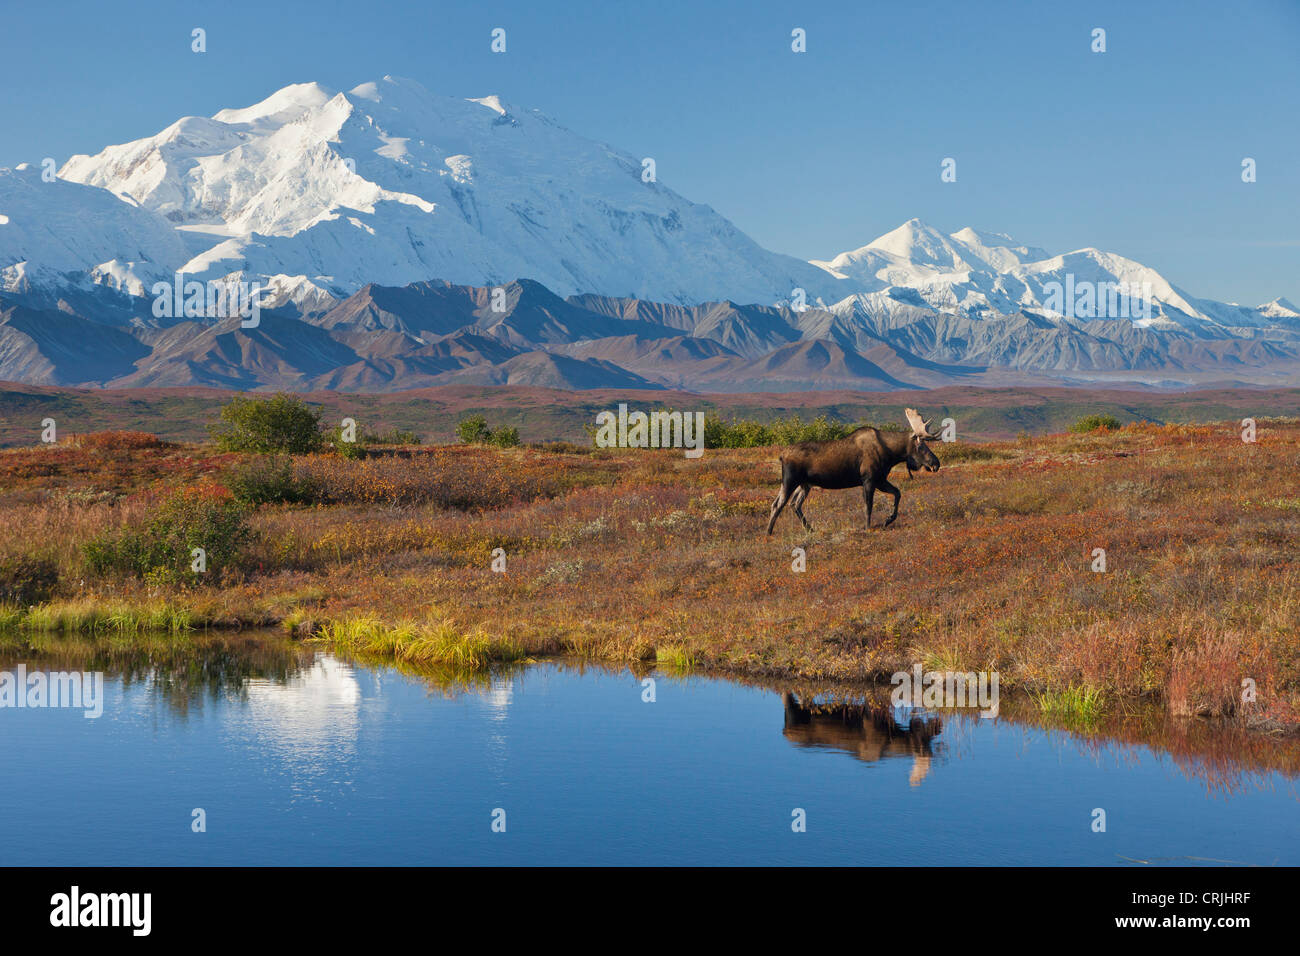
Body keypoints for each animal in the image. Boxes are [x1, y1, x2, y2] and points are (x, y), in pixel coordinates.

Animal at [764, 408, 941, 535]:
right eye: (921, 446)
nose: (936, 464)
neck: (891, 454)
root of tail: (781, 455)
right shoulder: (869, 479)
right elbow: (868, 505)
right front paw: (868, 527)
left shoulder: (880, 480)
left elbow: (897, 493)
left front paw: (887, 520)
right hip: (790, 480)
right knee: (778, 504)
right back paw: (769, 533)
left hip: (805, 484)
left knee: (794, 504)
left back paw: (810, 529)